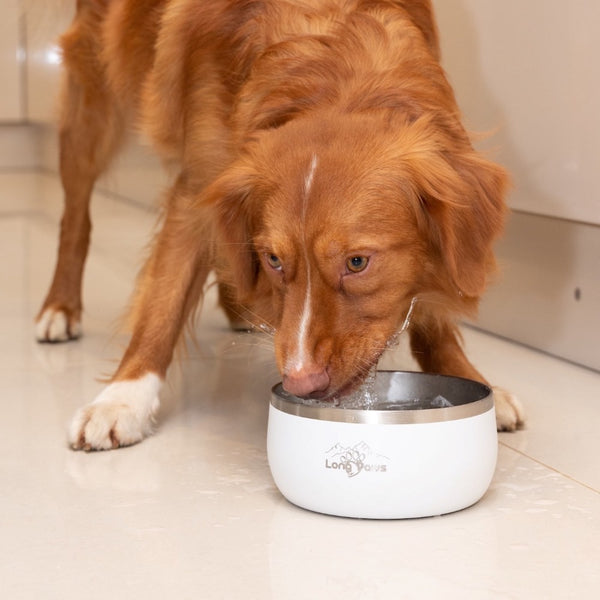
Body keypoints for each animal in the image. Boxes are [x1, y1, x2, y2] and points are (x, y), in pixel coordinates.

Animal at [37, 0, 524, 450]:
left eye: (358, 262)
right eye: (273, 259)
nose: (300, 383)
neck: (333, 58)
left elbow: (429, 304)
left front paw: (470, 377)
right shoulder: (196, 189)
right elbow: (163, 303)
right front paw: (123, 399)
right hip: (91, 105)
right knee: (74, 221)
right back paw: (59, 309)